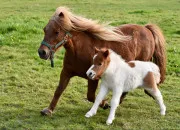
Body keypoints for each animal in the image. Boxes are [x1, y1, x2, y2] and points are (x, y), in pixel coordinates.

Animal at [38, 6, 166, 115]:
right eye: (45, 29)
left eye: (57, 32)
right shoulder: (66, 72)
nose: (42, 52)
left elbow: (91, 96)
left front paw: (104, 104)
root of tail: (147, 29)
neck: (79, 50)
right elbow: (59, 90)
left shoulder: (93, 77)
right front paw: (48, 110)